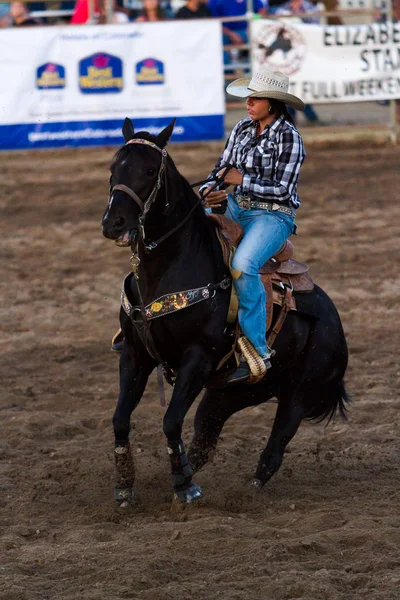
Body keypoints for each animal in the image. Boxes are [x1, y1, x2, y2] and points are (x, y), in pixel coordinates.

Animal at [101, 118, 348, 506]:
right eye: (114, 168)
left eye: (150, 170)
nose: (114, 223)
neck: (170, 267)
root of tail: (336, 323)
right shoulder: (134, 353)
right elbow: (121, 419)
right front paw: (126, 485)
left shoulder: (197, 358)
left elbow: (170, 420)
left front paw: (185, 489)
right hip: (231, 392)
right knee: (206, 436)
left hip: (298, 394)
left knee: (275, 446)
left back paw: (248, 490)